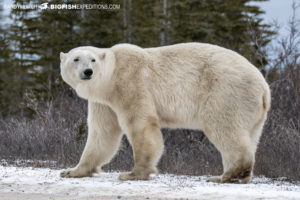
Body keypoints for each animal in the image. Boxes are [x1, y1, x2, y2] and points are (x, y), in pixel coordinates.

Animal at [59, 43, 270, 184]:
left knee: (223, 127)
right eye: (76, 59)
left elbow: (140, 123)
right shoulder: (103, 102)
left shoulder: (130, 82)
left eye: (92, 59)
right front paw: (72, 171)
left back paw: (225, 176)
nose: (88, 72)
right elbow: (102, 133)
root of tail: (264, 88)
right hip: (252, 112)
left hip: (225, 91)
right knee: (250, 135)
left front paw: (134, 173)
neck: (111, 77)